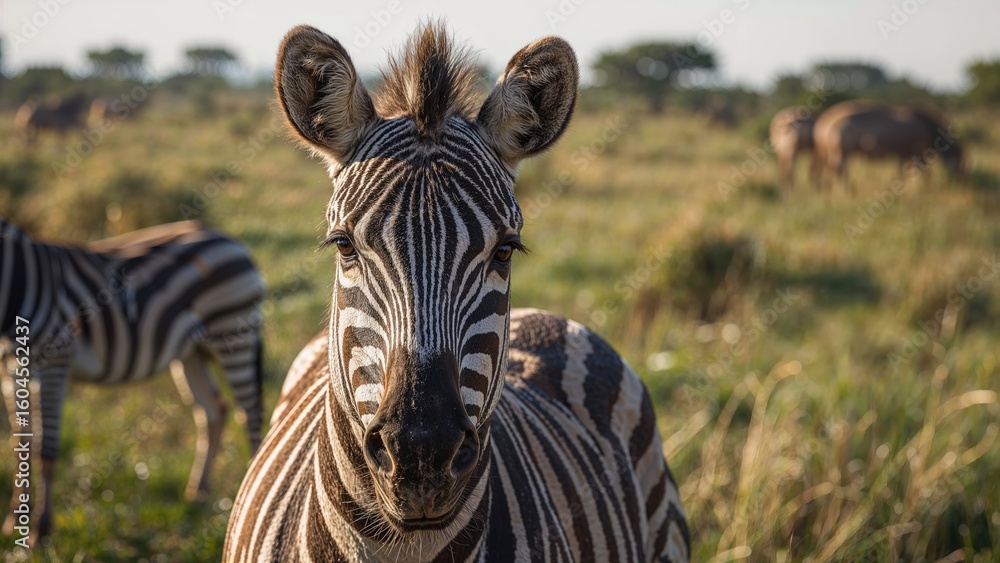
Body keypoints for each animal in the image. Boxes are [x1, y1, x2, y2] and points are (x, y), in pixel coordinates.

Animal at [0, 218, 266, 543]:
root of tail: (227, 238)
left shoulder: (55, 359)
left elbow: (44, 449)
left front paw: (41, 530)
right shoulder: (10, 367)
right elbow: (20, 443)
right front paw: (14, 521)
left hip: (233, 329)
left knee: (250, 413)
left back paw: (250, 498)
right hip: (193, 350)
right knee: (214, 410)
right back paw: (198, 491)